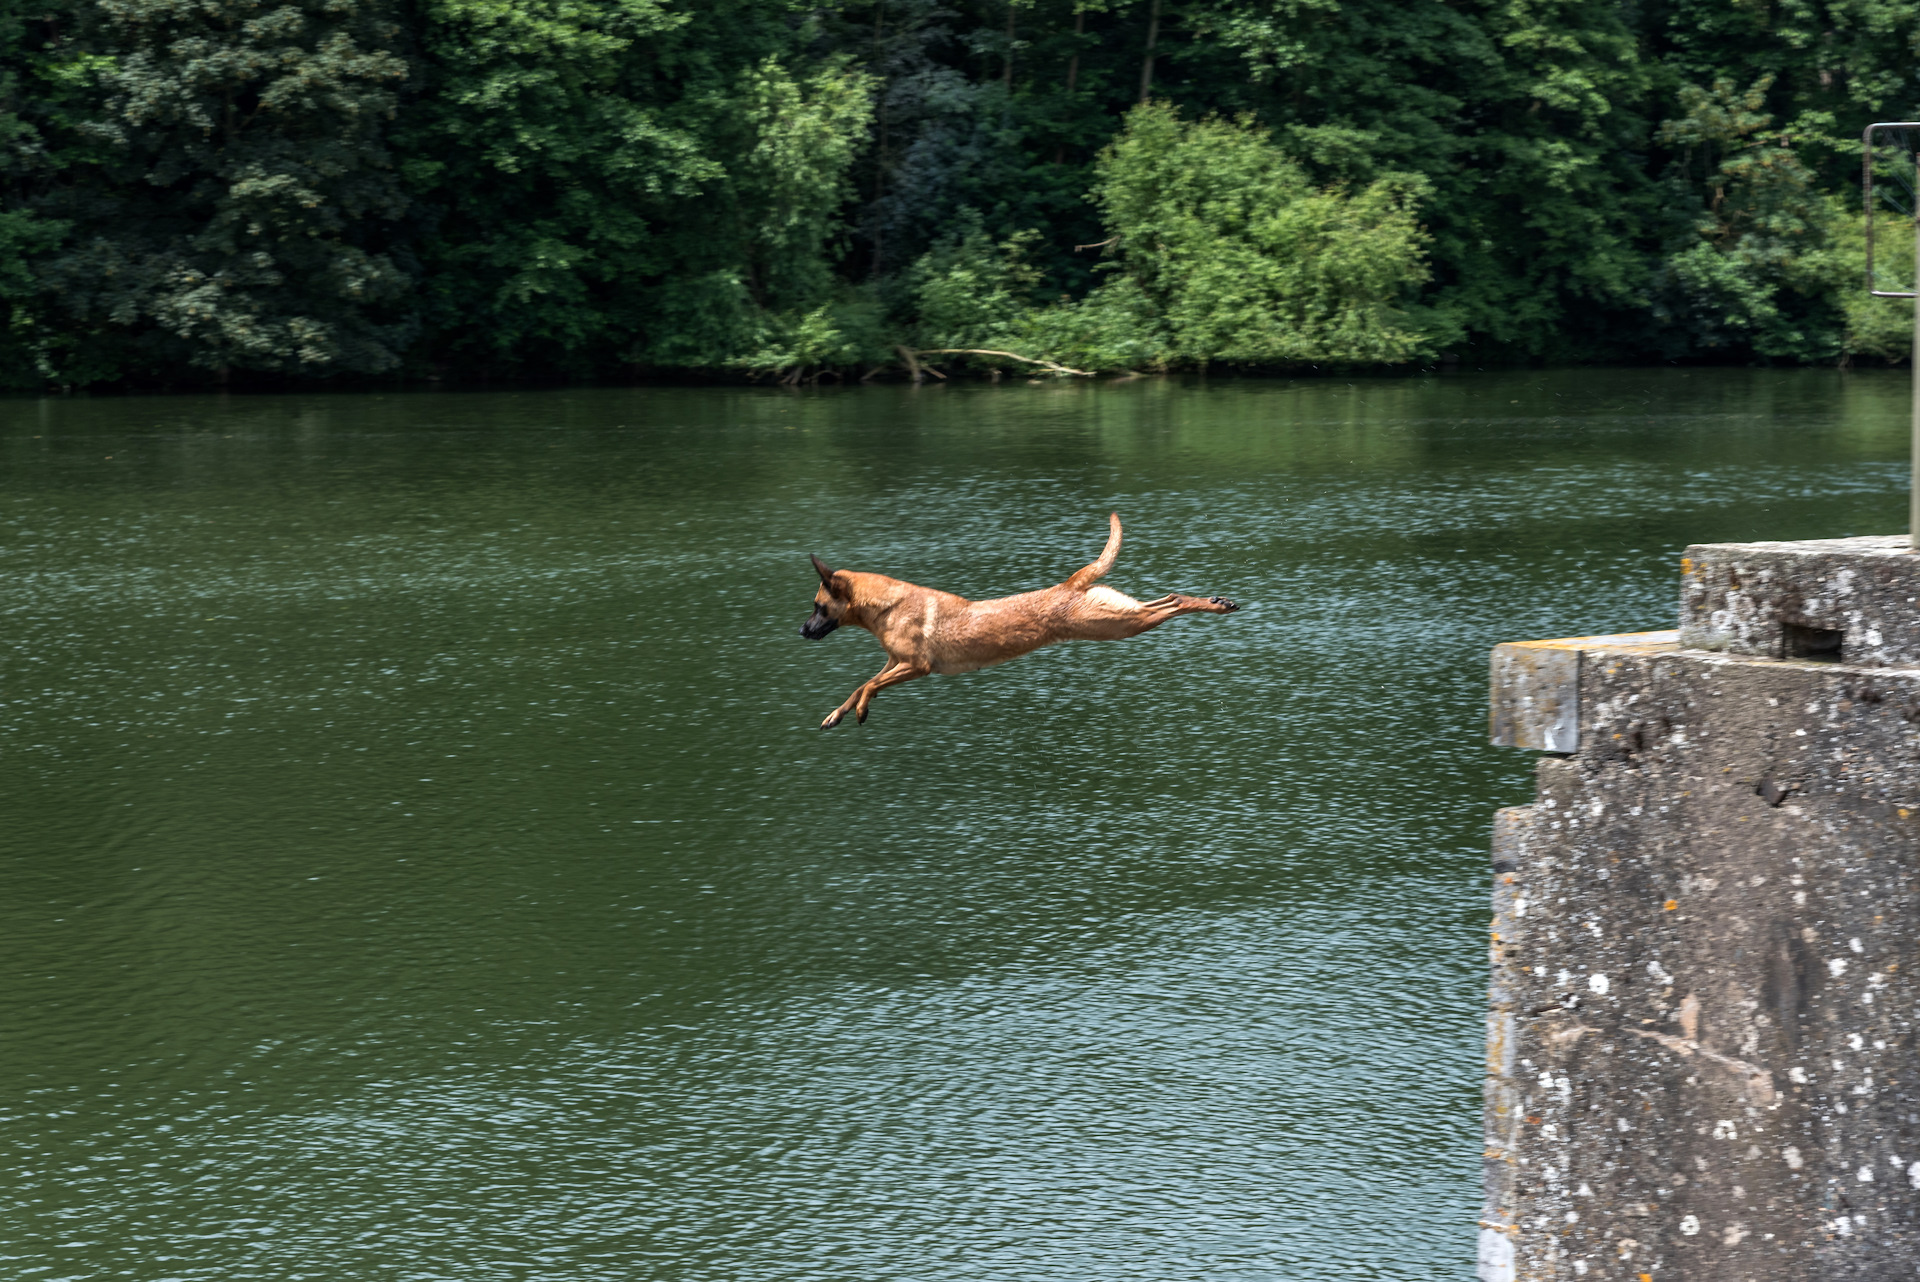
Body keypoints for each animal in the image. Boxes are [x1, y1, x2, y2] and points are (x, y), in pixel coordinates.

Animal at [798, 514, 1236, 729]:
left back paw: (1216, 606)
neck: (887, 607)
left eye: (818, 606)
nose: (801, 630)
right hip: (1117, 616)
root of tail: (1070, 583)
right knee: (1168, 599)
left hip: (1114, 625)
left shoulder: (916, 666)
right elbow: (859, 686)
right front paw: (838, 714)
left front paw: (859, 712)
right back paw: (1217, 601)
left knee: (1169, 605)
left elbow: (868, 686)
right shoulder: (895, 663)